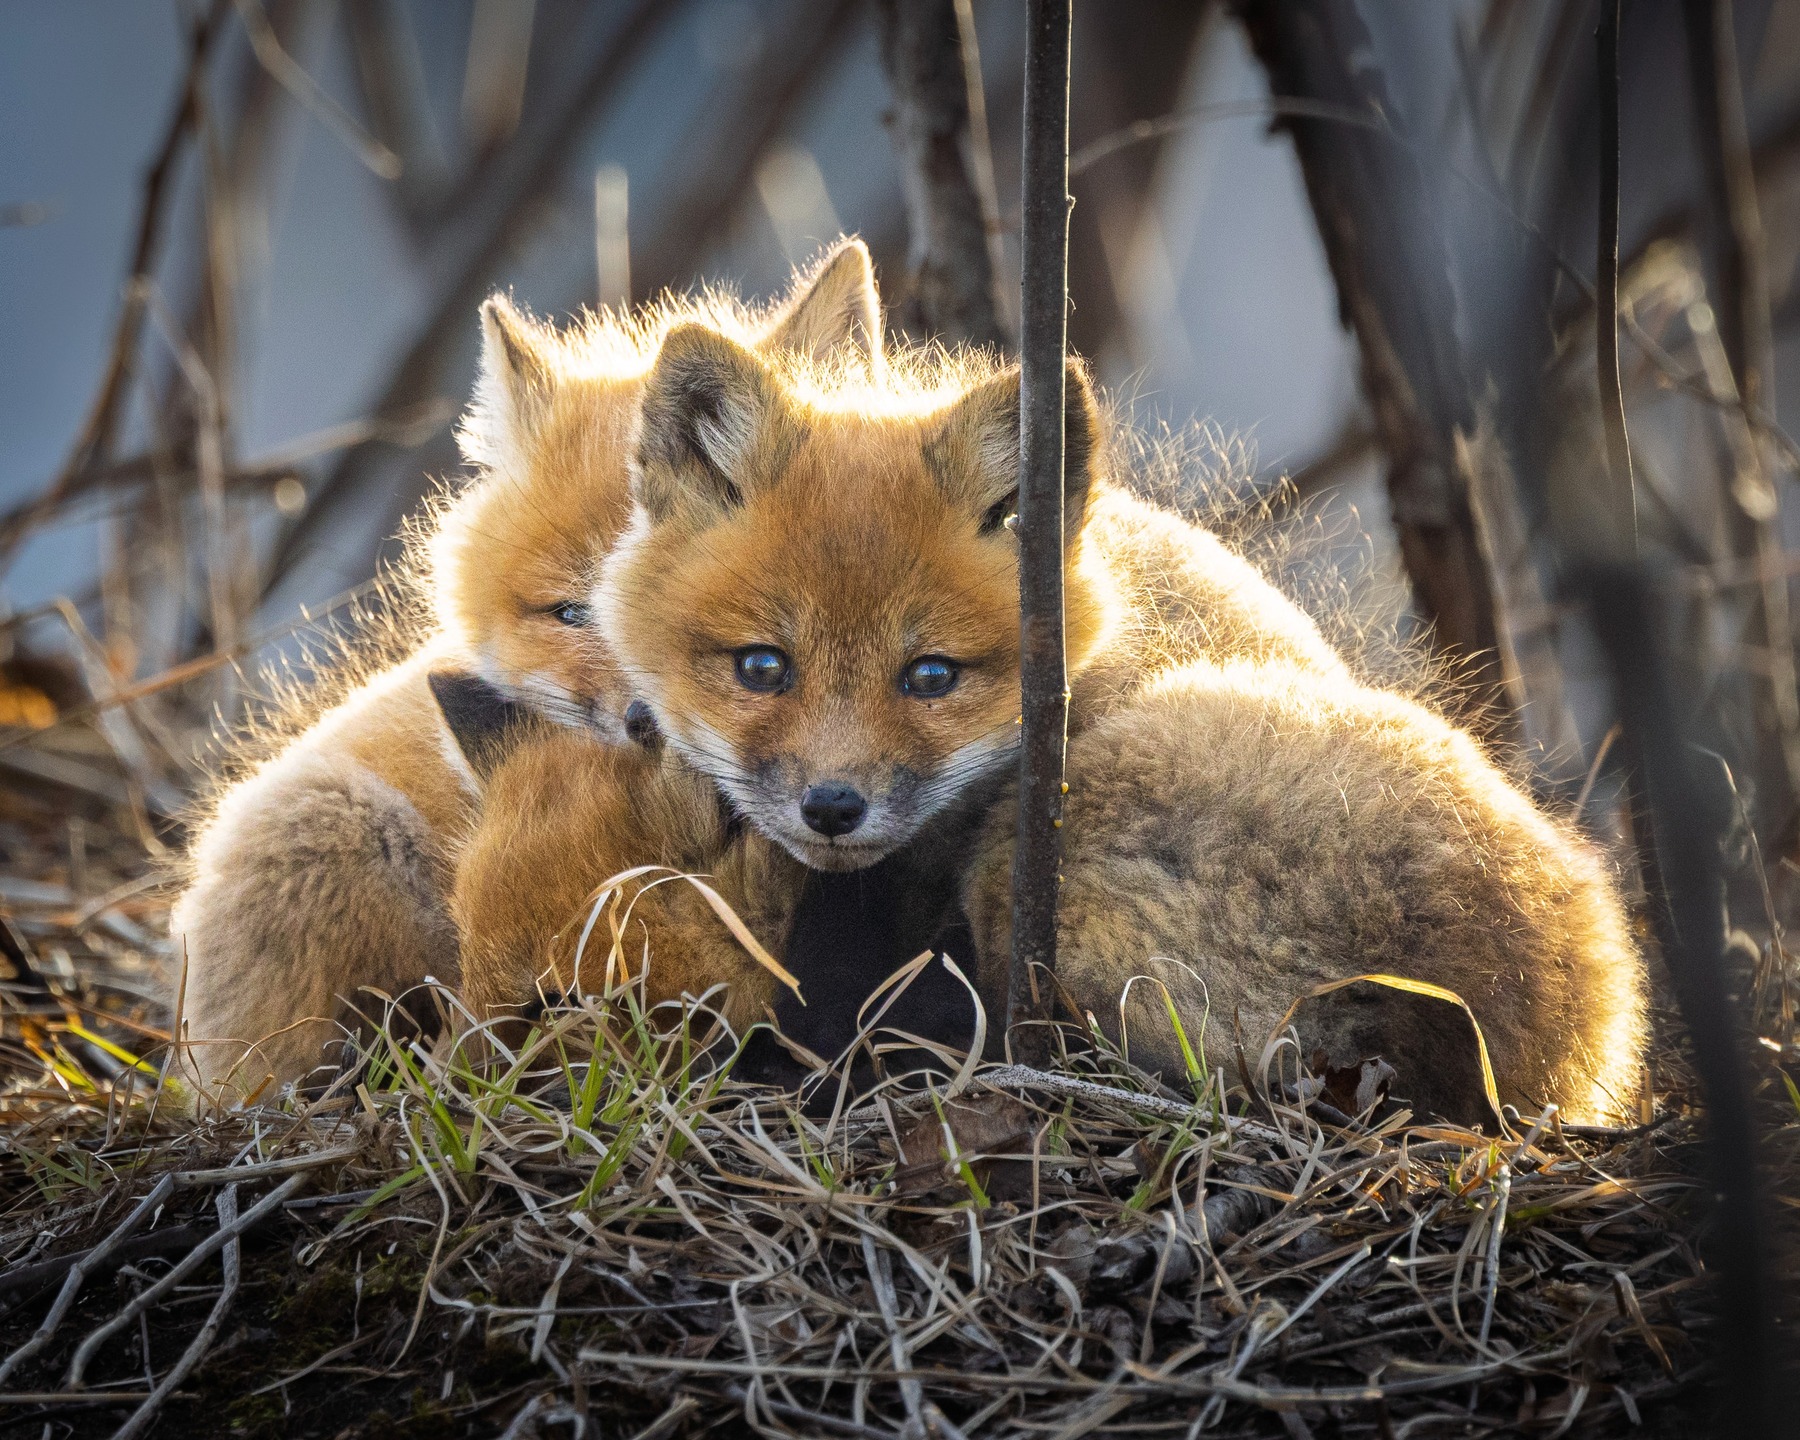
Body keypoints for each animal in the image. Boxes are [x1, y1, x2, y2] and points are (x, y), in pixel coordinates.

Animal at [583, 325, 1646, 1123]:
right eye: (764, 667)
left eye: (930, 676)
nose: (833, 807)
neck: (1114, 621)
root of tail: (1566, 1037)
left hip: (1044, 855)